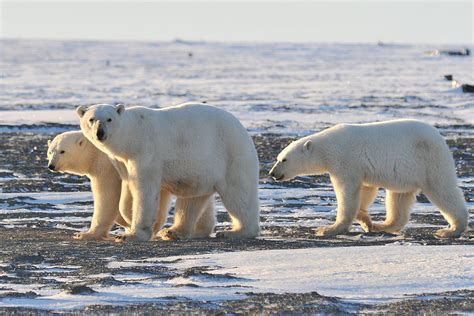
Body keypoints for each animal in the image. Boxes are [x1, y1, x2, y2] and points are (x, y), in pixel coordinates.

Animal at [45, 131, 215, 239]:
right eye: (50, 151)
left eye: (62, 151)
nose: (51, 166)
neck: (97, 150)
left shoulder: (107, 167)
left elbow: (108, 196)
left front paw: (85, 234)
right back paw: (199, 230)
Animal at [75, 102, 260, 241]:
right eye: (91, 119)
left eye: (109, 119)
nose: (100, 133)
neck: (132, 137)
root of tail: (244, 132)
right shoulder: (122, 162)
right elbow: (129, 190)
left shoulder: (146, 154)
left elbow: (145, 190)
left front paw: (132, 234)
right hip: (201, 171)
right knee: (192, 200)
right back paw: (173, 231)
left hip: (231, 157)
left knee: (239, 195)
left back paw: (236, 231)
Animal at [268, 119, 468, 238]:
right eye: (278, 157)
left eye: (284, 159)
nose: (272, 173)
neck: (328, 148)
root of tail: (440, 138)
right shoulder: (360, 168)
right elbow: (366, 190)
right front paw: (367, 221)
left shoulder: (345, 161)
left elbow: (347, 193)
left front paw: (327, 229)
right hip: (406, 173)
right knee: (398, 199)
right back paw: (382, 225)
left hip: (429, 161)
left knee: (443, 190)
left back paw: (450, 229)